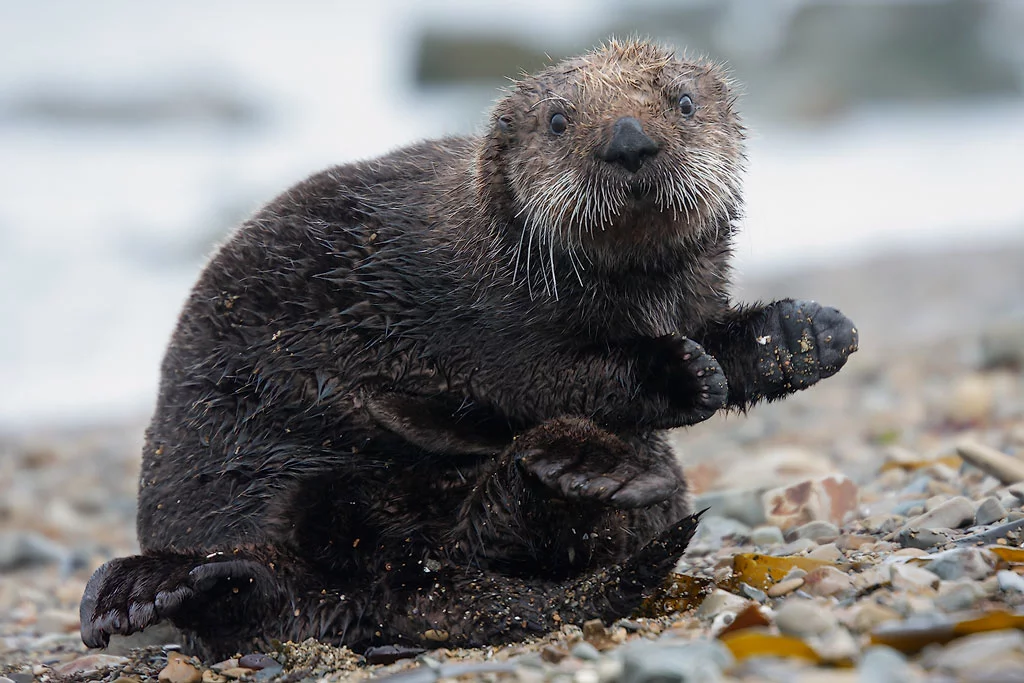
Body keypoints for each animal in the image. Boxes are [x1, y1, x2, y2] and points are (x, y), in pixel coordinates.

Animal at [79, 40, 856, 659]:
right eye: (558, 120)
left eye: (684, 102)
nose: (630, 138)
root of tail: (384, 588)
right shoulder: (487, 328)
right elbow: (555, 378)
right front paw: (684, 371)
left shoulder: (688, 299)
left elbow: (717, 332)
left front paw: (807, 334)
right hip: (246, 481)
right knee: (266, 582)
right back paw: (152, 589)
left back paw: (575, 474)